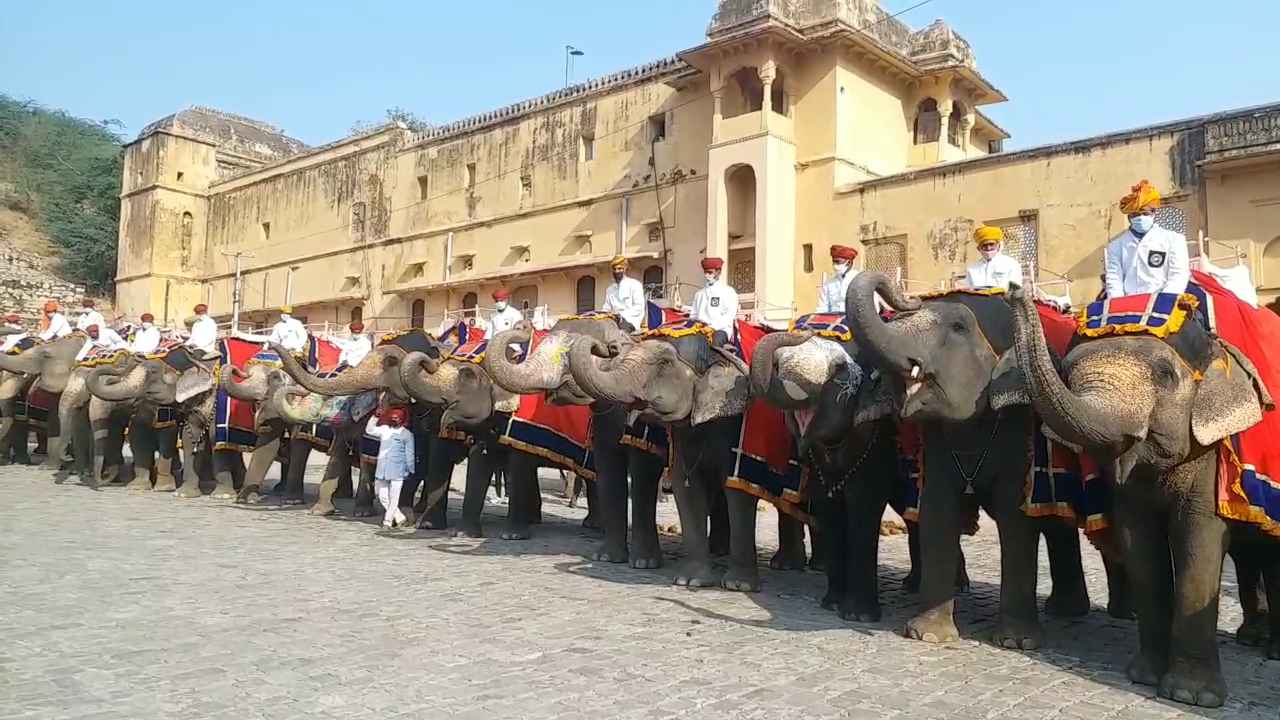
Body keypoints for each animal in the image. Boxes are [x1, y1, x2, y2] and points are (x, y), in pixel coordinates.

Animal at [839, 271, 1131, 648]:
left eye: (958, 327)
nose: (909, 298)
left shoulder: (1020, 426)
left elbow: (1015, 517)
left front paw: (1016, 643)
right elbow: (937, 510)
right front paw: (927, 635)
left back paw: (1116, 614)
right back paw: (1067, 610)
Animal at [1008, 283, 1280, 702]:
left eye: (1165, 374)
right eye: (1066, 373)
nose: (1015, 289)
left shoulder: (1212, 450)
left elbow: (1199, 537)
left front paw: (1191, 696)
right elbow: (1140, 544)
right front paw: (1144, 677)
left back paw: (1270, 651)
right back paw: (1252, 638)